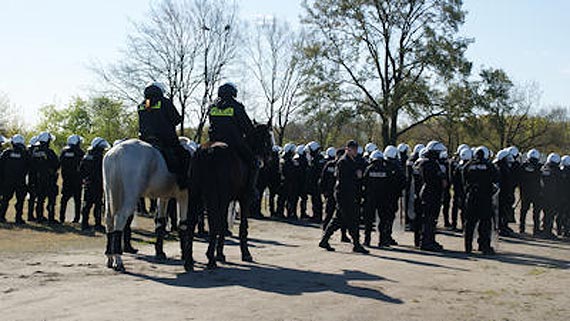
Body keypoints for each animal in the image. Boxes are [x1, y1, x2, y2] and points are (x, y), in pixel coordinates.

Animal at [102, 139, 189, 272]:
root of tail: (116, 152)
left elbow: (161, 222)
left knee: (109, 220)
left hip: (110, 195)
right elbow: (183, 224)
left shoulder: (163, 197)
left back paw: (110, 257)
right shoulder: (184, 196)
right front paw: (185, 255)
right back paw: (119, 260)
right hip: (130, 197)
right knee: (121, 218)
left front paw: (160, 252)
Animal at [180, 121, 272, 268]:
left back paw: (189, 261)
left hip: (196, 195)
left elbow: (224, 225)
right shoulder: (244, 199)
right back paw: (210, 258)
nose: (270, 155)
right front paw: (246, 253)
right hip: (216, 196)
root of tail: (207, 151)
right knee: (214, 222)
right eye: (269, 136)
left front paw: (220, 254)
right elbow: (242, 227)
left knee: (192, 222)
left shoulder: (227, 200)